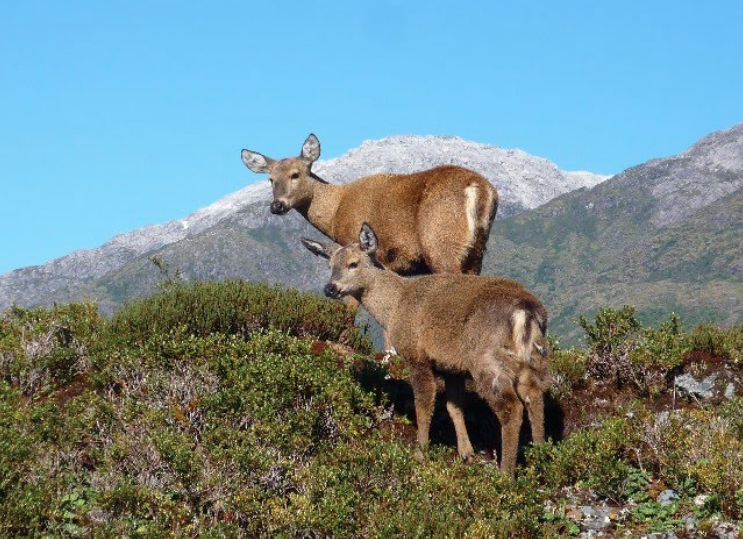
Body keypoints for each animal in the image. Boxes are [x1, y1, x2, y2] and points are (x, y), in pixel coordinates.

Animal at [302, 224, 552, 476]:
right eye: (330, 265)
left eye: (353, 263)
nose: (330, 288)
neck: (394, 308)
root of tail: (526, 310)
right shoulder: (451, 366)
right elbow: (454, 407)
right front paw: (466, 452)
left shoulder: (417, 355)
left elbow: (423, 404)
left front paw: (420, 453)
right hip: (533, 358)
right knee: (535, 398)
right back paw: (540, 457)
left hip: (488, 361)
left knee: (512, 409)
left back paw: (506, 473)